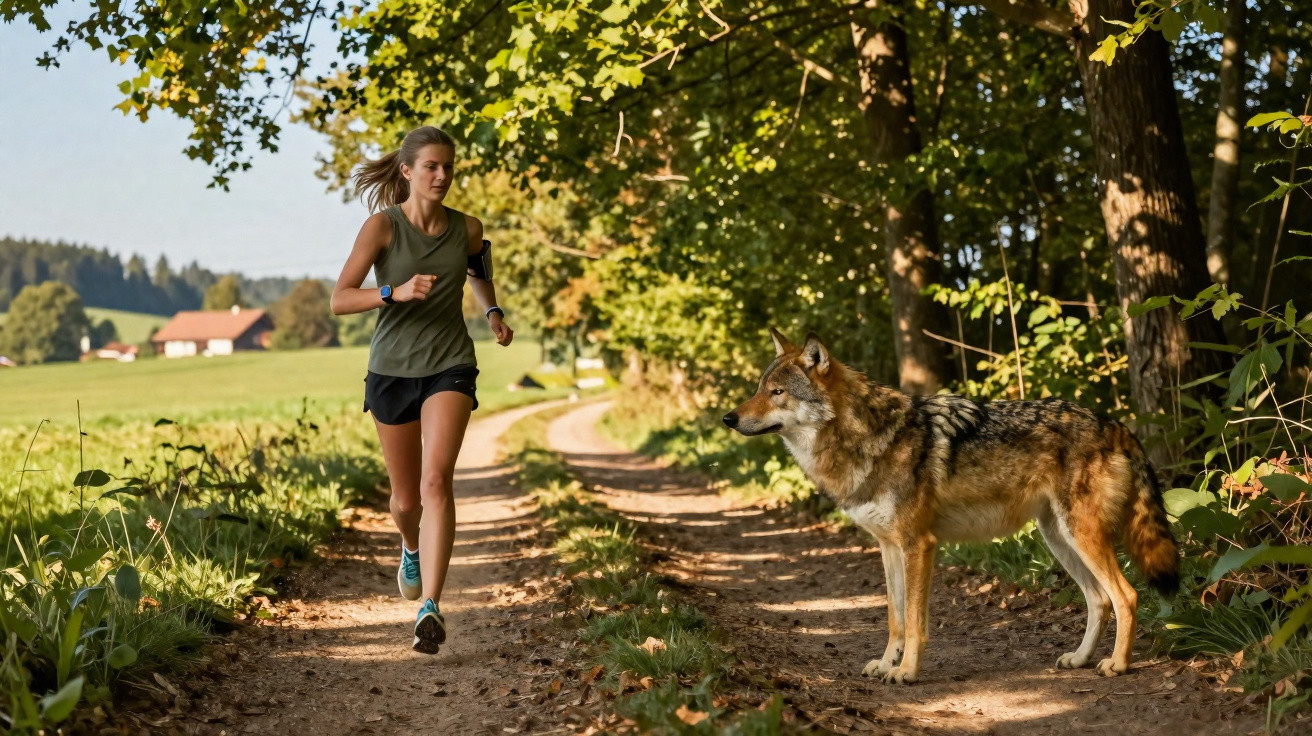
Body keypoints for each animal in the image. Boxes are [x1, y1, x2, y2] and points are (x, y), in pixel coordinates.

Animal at [723, 329, 1179, 684]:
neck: (866, 437)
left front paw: (906, 672)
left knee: (1127, 595)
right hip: (1059, 538)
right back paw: (1080, 659)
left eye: (777, 392)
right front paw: (885, 664)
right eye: (759, 388)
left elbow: (915, 621)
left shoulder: (919, 545)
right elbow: (895, 618)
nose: (728, 418)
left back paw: (1117, 665)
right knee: (1099, 600)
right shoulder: (889, 547)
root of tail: (1116, 424)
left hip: (1079, 536)